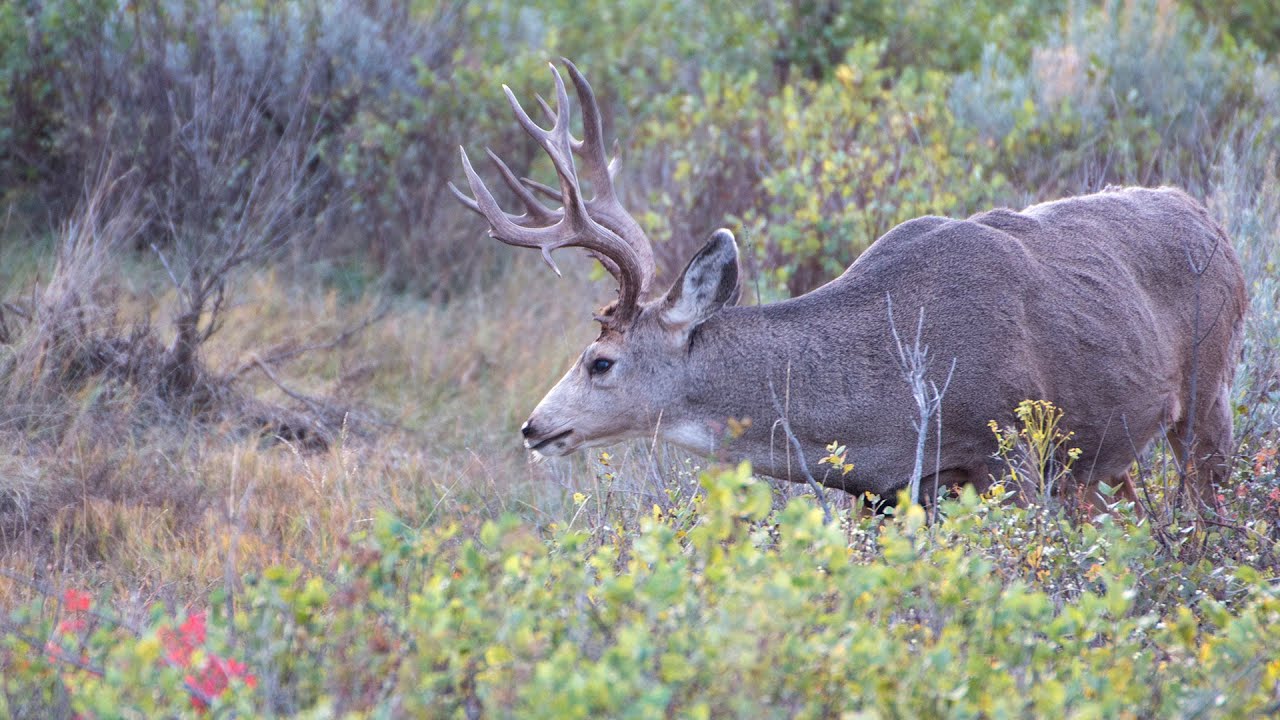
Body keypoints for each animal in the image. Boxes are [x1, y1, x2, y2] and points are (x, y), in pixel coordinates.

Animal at [451, 60, 1247, 511]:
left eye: (600, 361)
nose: (534, 426)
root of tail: (1214, 223)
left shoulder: (1015, 450)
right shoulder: (893, 494)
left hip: (1207, 390)